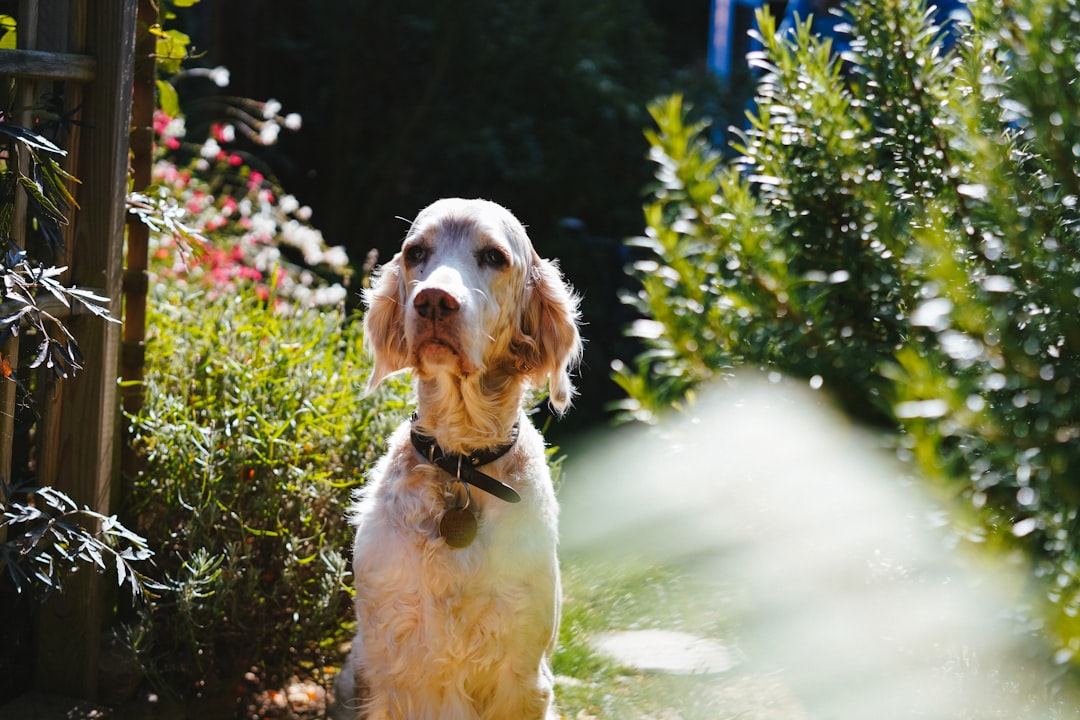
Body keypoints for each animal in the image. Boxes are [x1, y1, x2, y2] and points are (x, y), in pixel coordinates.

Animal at [334, 198, 583, 720]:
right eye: (416, 252)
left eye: (493, 256)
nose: (433, 301)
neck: (462, 467)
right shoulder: (384, 668)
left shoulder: (523, 672)